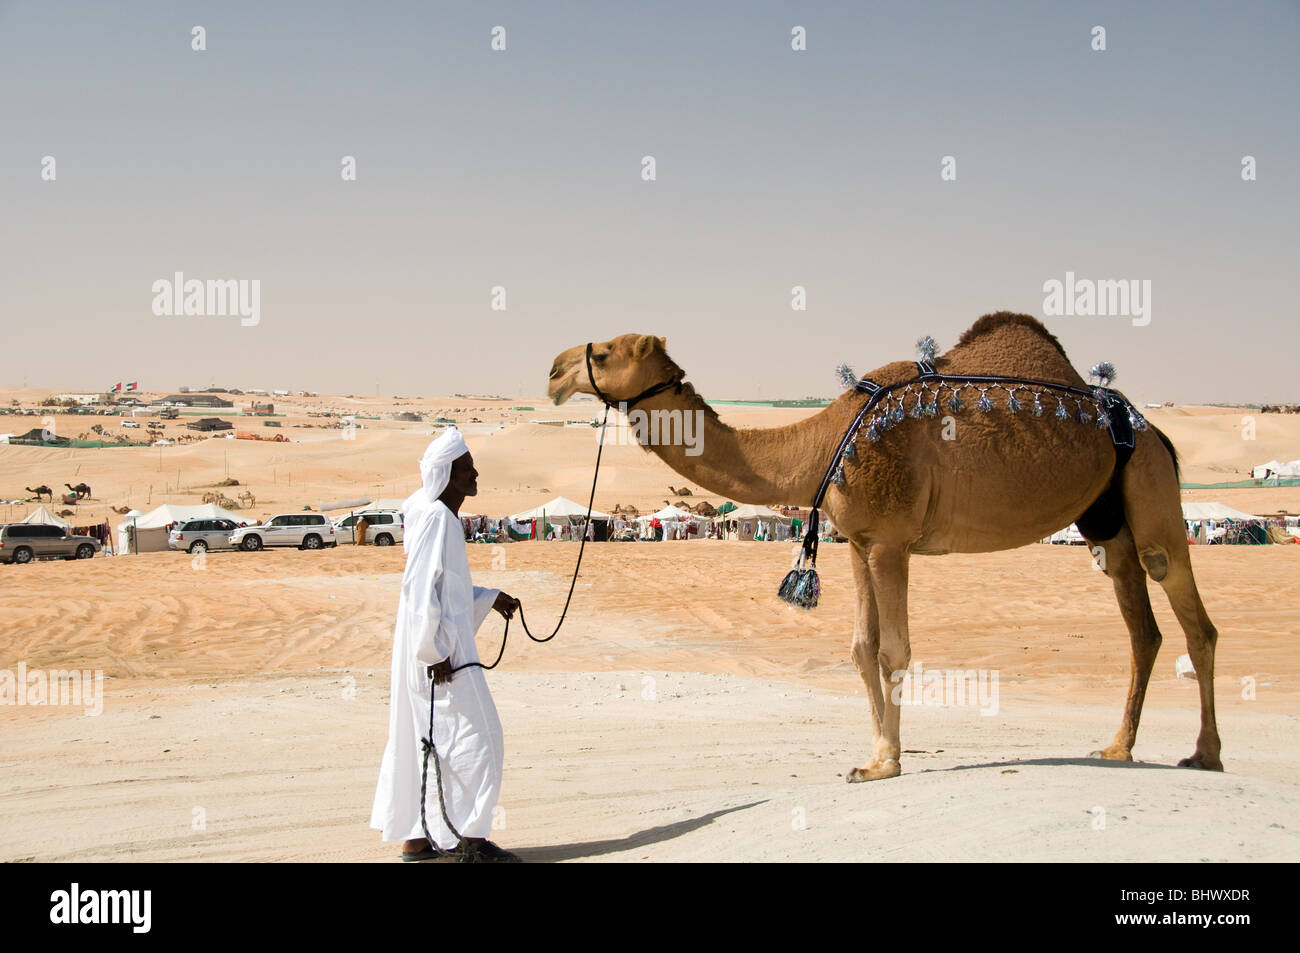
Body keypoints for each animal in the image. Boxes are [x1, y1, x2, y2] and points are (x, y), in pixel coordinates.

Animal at [553, 315, 1222, 774]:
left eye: (604, 352)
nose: (555, 370)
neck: (822, 444)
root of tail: (1156, 432)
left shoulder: (891, 542)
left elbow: (894, 649)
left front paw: (888, 763)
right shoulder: (858, 541)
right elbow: (860, 647)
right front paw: (874, 756)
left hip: (1152, 493)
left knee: (1191, 614)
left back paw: (1205, 754)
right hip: (1106, 525)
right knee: (1143, 628)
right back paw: (1119, 746)